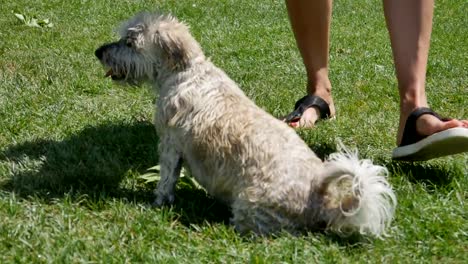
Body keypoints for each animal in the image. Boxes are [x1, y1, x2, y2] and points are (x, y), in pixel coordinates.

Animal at [97, 11, 396, 235]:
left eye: (129, 42)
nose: (99, 51)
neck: (186, 72)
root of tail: (320, 198)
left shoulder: (170, 145)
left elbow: (166, 180)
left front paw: (157, 203)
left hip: (249, 204)